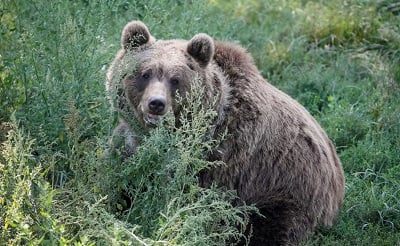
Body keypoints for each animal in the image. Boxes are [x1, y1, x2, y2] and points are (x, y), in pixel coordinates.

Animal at [105, 20, 344, 245]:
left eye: (176, 80)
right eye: (145, 73)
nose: (156, 103)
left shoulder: (222, 156)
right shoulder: (130, 142)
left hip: (287, 190)